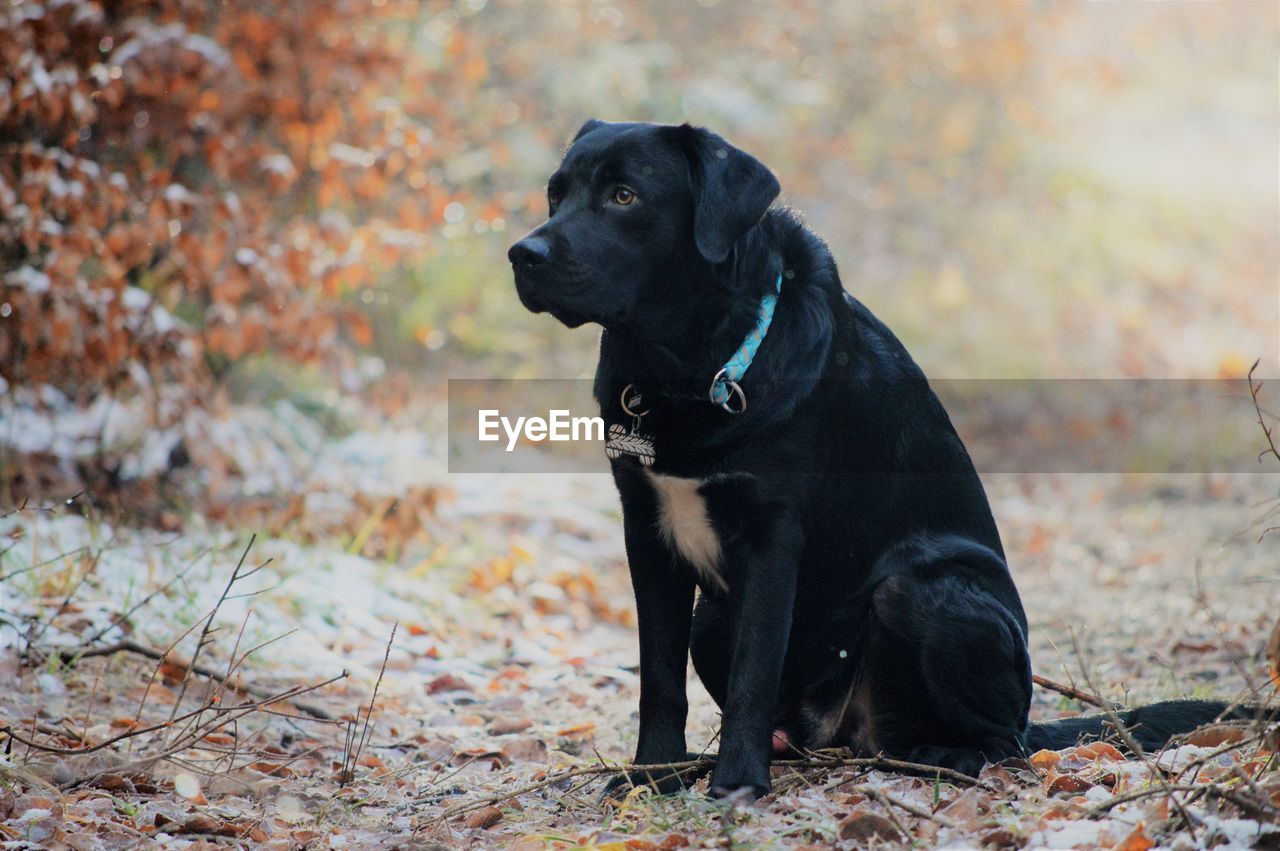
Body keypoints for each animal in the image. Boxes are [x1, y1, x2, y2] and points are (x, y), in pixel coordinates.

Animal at [506, 120, 1249, 803]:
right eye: (555, 193)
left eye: (624, 196)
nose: (522, 253)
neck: (686, 368)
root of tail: (845, 732)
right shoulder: (646, 531)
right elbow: (659, 679)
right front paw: (652, 776)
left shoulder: (771, 538)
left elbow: (751, 675)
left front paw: (738, 782)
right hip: (713, 618)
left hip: (925, 589)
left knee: (1006, 738)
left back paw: (949, 754)